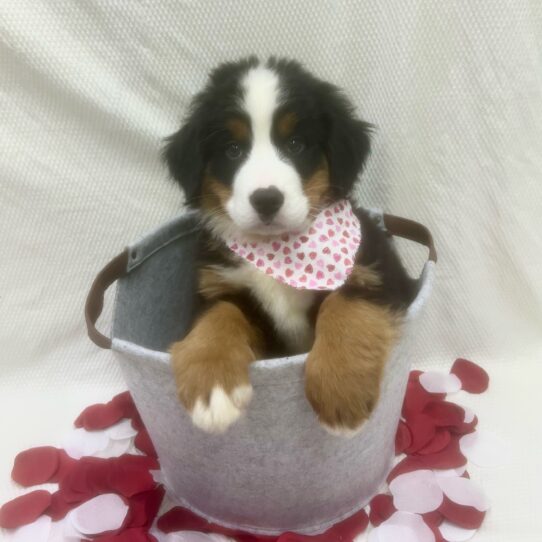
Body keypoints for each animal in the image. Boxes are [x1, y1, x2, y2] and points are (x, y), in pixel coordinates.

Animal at [164, 55, 414, 438]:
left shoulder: (378, 269)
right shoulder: (216, 288)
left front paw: (341, 389)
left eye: (295, 144)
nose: (266, 199)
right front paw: (213, 389)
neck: (277, 249)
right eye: (232, 150)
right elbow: (219, 315)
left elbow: (345, 305)